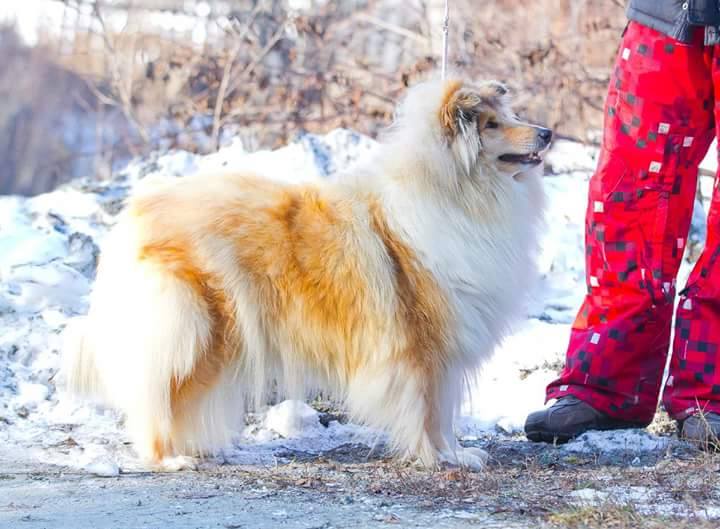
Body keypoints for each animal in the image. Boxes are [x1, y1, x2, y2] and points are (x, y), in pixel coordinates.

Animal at [64, 75, 556, 470]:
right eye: (490, 125)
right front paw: (436, 458)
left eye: (508, 114)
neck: (458, 191)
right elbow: (430, 410)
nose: (548, 133)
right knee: (154, 398)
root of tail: (133, 217)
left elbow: (445, 409)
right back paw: (170, 459)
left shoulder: (445, 348)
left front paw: (456, 454)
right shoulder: (423, 343)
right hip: (191, 327)